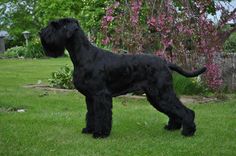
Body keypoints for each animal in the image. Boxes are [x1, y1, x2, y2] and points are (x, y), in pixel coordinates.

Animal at [39, 17, 206, 138]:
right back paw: (172, 127)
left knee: (186, 111)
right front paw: (88, 129)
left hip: (162, 93)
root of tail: (166, 63)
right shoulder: (90, 97)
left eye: (55, 25)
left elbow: (102, 115)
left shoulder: (101, 95)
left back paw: (188, 132)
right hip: (156, 96)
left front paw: (100, 134)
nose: (41, 33)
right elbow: (91, 114)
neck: (84, 55)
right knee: (174, 111)